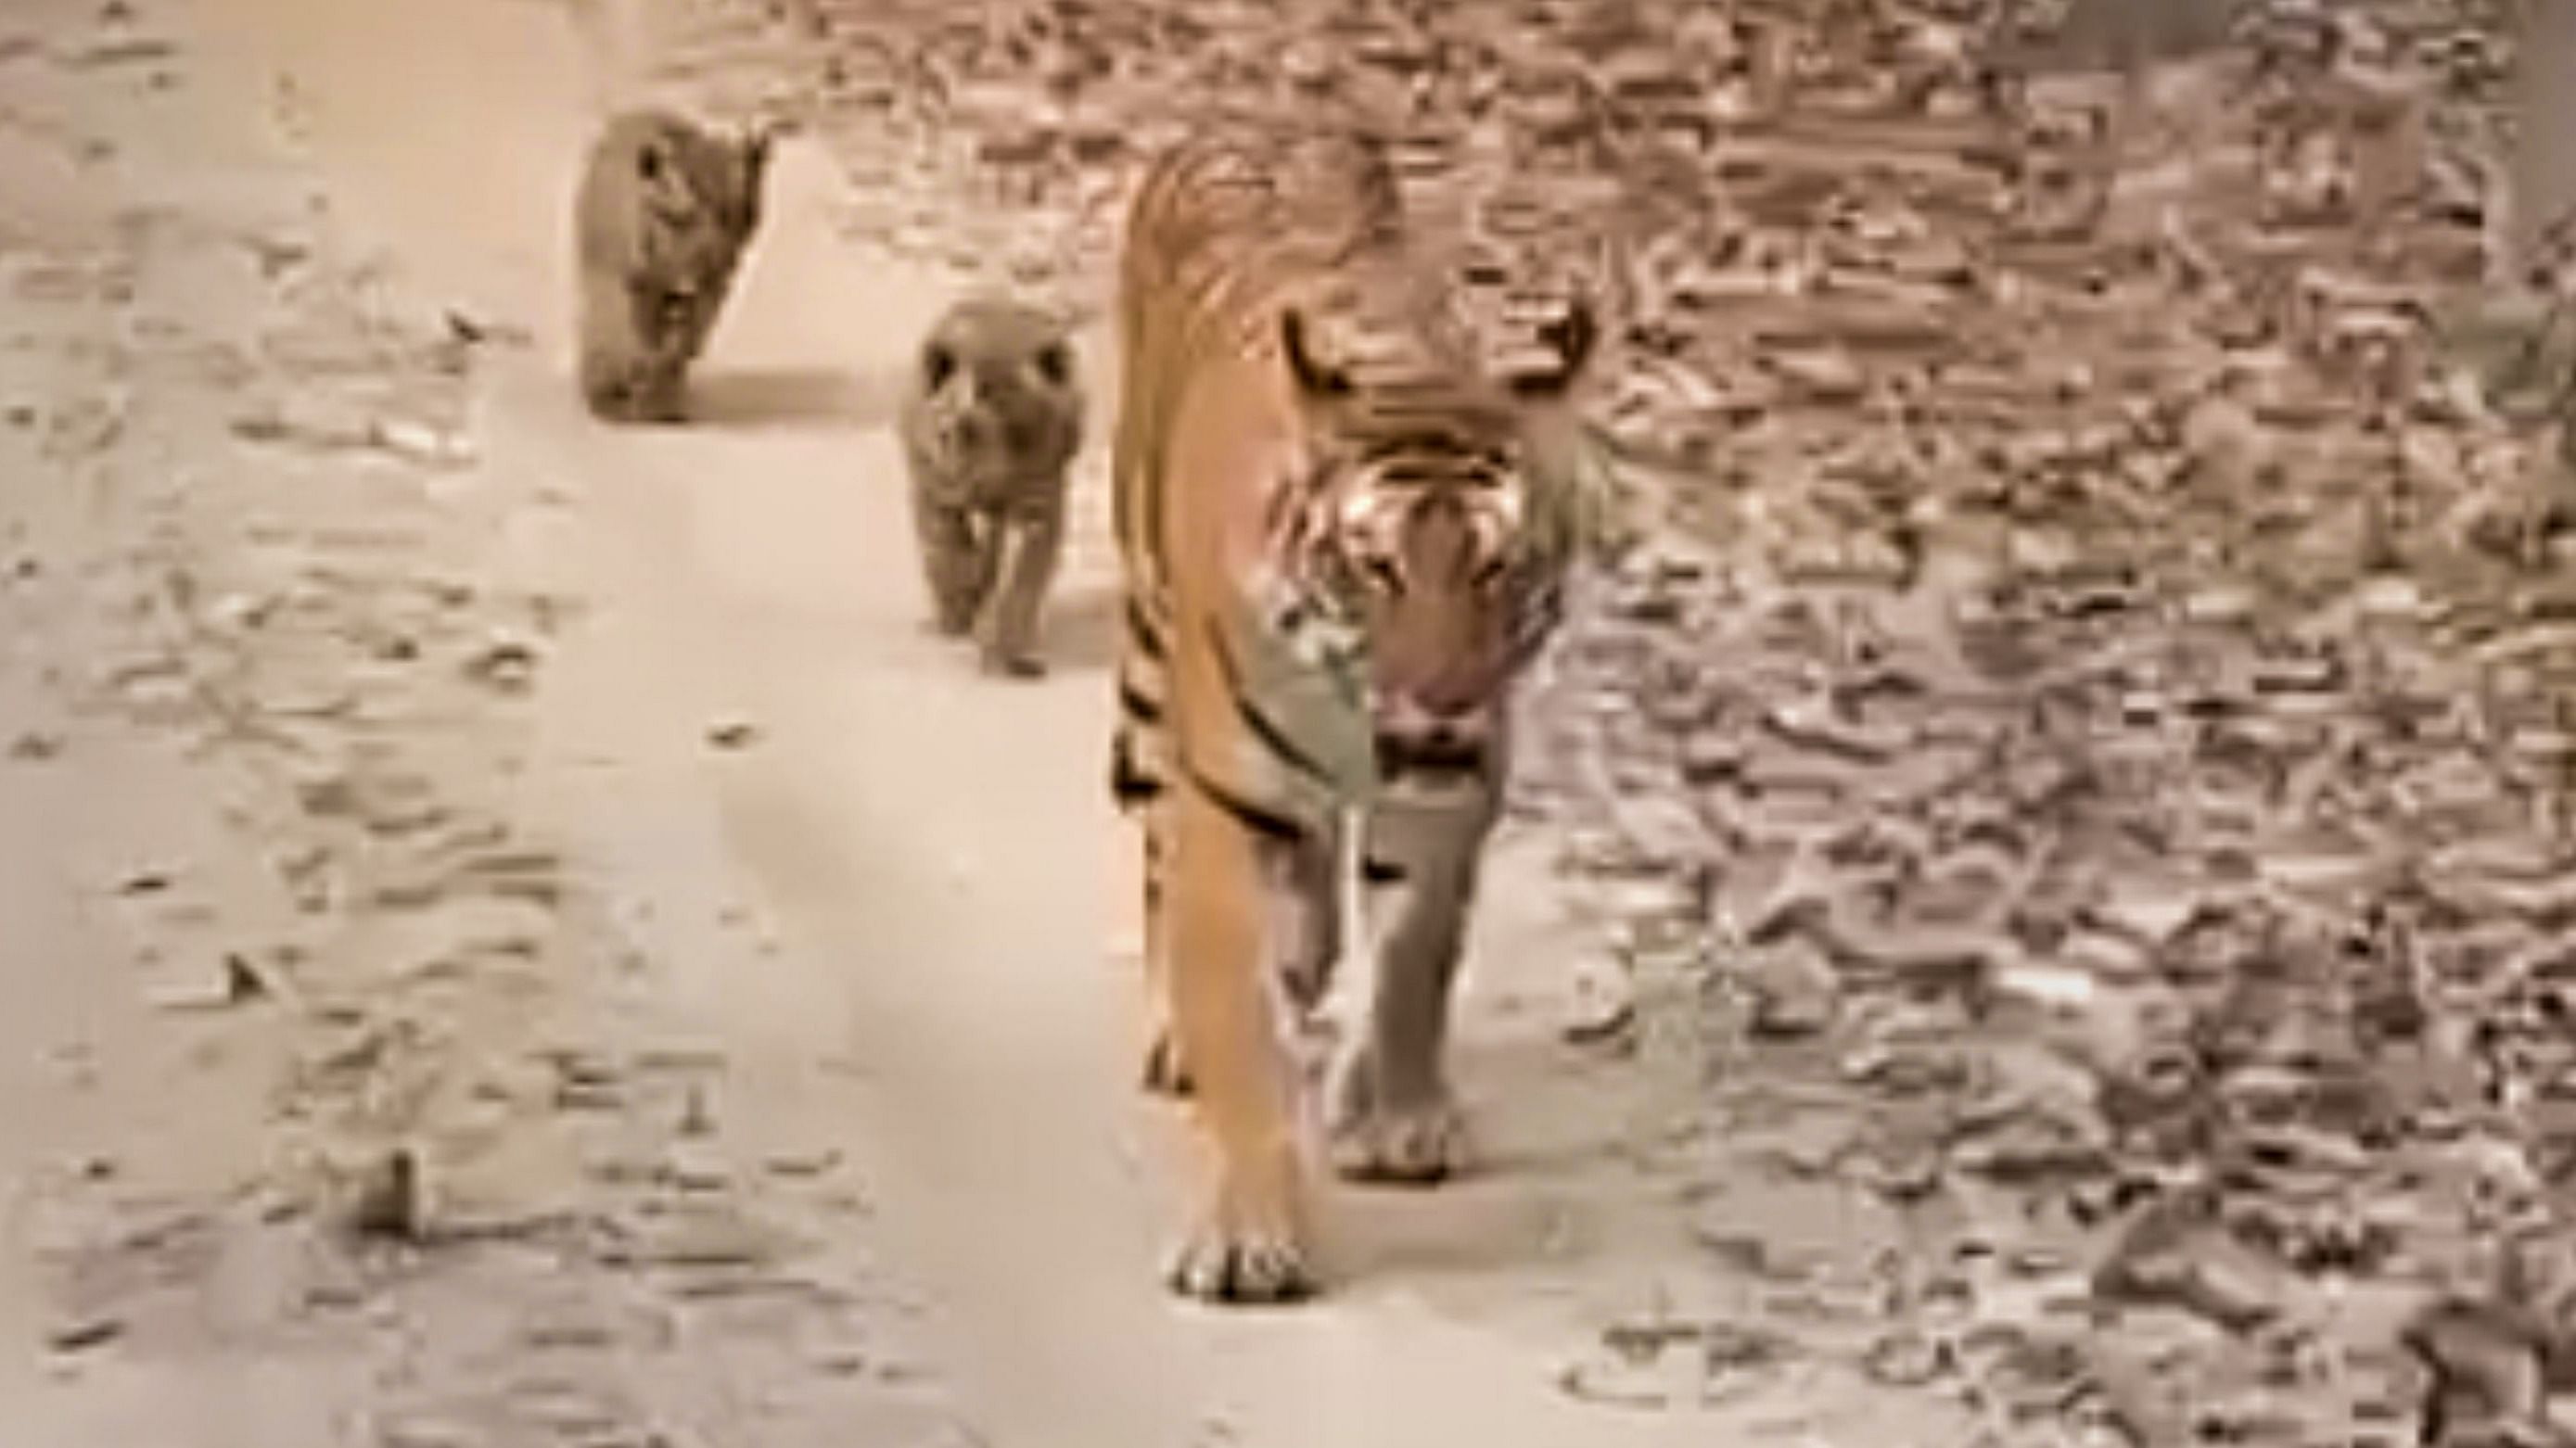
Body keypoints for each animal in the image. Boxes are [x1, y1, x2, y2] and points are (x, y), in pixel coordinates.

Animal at [581, 105, 772, 422]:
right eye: (682, 215)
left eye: (736, 216)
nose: (716, 257)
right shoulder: (635, 280)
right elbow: (635, 334)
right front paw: (631, 388)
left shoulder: (713, 285)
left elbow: (685, 340)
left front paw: (660, 394)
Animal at [901, 296, 1081, 680]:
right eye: (954, 431)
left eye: (1020, 431)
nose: (975, 476)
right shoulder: (933, 491)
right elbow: (948, 552)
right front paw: (960, 612)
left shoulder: (1037, 504)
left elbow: (1020, 579)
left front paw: (1009, 651)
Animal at [1102, 121, 1607, 1298]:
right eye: (1377, 567)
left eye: (1500, 566)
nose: (1441, 702)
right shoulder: (1228, 801)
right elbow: (1237, 1018)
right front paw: (1247, 1232)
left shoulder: (1448, 790)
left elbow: (1416, 958)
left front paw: (1399, 1119)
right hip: (1149, 661)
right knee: (1157, 852)